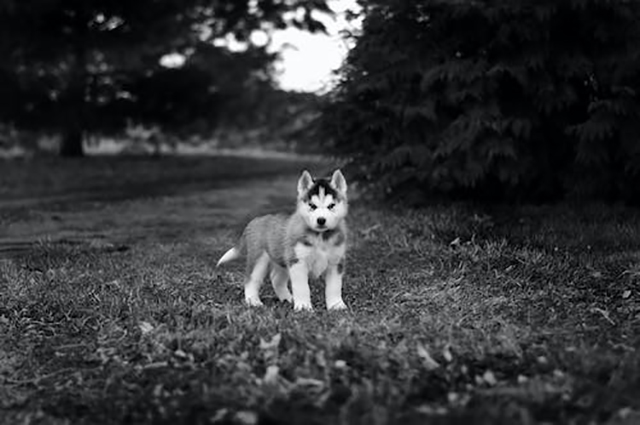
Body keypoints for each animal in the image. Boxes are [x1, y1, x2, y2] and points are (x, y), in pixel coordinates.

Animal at [219, 169, 350, 312]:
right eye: (312, 206)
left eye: (331, 206)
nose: (321, 220)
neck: (320, 237)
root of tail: (255, 220)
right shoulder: (298, 262)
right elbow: (302, 288)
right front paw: (303, 307)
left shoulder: (336, 263)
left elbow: (334, 287)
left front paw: (336, 305)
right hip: (259, 259)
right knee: (250, 280)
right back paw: (253, 301)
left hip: (282, 260)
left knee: (276, 279)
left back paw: (287, 298)